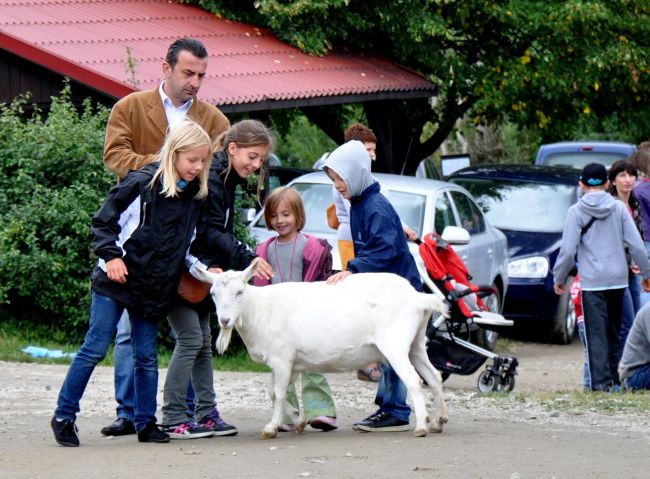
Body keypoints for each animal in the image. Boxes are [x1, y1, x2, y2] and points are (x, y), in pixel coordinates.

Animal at [197, 262, 448, 438]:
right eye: (213, 294)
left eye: (240, 292)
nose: (225, 321)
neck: (260, 308)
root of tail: (417, 297)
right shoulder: (287, 362)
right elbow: (272, 392)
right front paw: (297, 420)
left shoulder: (282, 358)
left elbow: (277, 393)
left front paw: (271, 427)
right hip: (415, 344)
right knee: (434, 377)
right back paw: (439, 422)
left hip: (394, 344)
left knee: (414, 380)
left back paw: (422, 426)